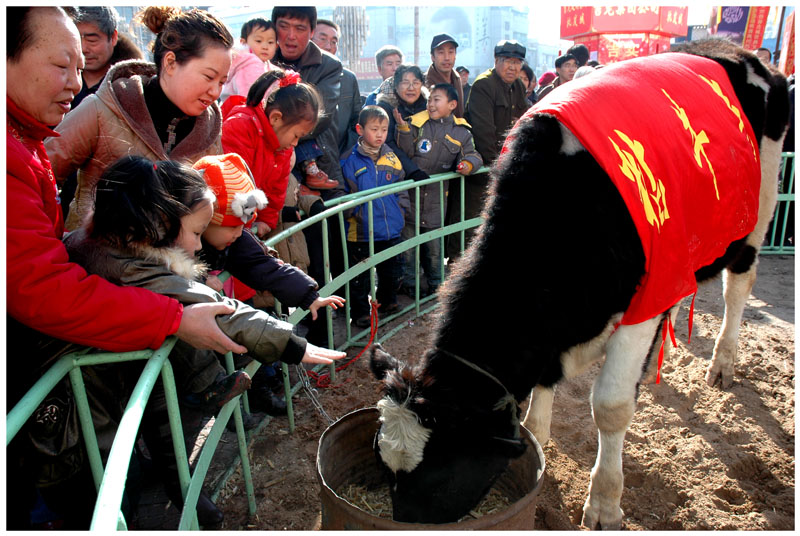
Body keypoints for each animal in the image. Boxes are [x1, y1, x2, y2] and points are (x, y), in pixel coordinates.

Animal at [368, 40, 788, 528]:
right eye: (383, 459)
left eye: (436, 469)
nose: (398, 518)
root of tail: (731, 49)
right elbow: (544, 386)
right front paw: (538, 437)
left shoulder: (642, 304)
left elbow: (611, 407)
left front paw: (604, 502)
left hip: (758, 209)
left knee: (738, 285)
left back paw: (722, 362)